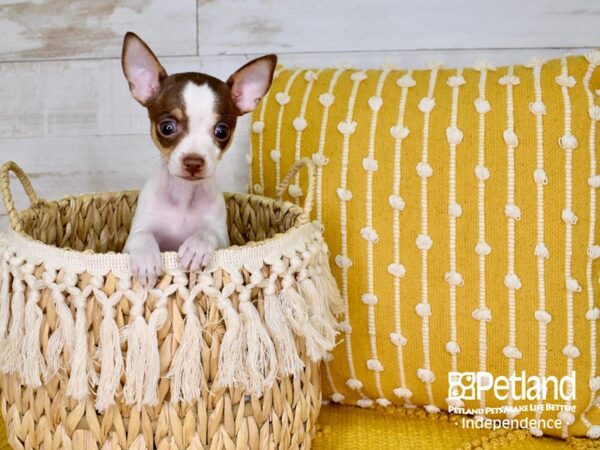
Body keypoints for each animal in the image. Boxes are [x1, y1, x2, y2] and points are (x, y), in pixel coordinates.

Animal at [122, 31, 276, 284]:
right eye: (167, 128)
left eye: (222, 131)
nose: (193, 162)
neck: (184, 195)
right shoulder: (134, 234)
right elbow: (142, 236)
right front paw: (145, 259)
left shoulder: (222, 237)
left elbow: (207, 232)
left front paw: (196, 248)